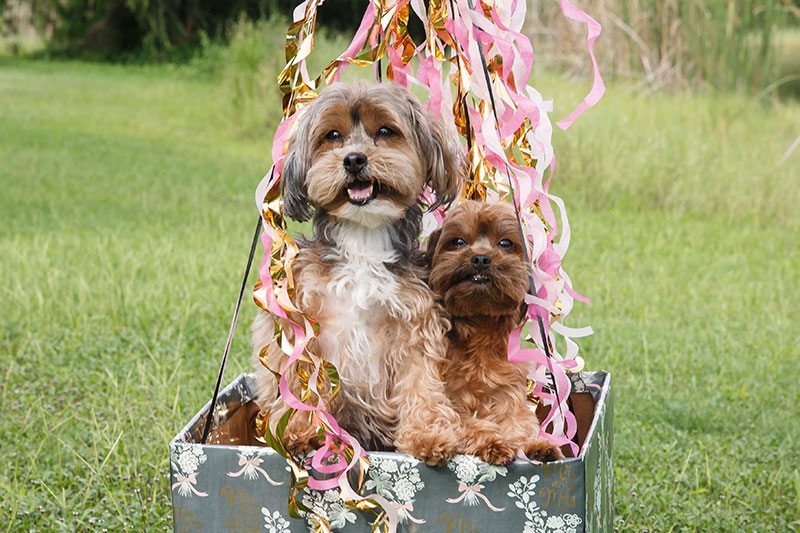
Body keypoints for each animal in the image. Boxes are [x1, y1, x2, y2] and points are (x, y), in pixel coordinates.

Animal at [250, 81, 462, 464]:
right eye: (333, 135)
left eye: (386, 131)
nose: (353, 159)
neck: (363, 239)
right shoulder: (302, 323)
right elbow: (299, 382)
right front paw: (297, 430)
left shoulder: (415, 324)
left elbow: (421, 382)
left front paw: (428, 433)